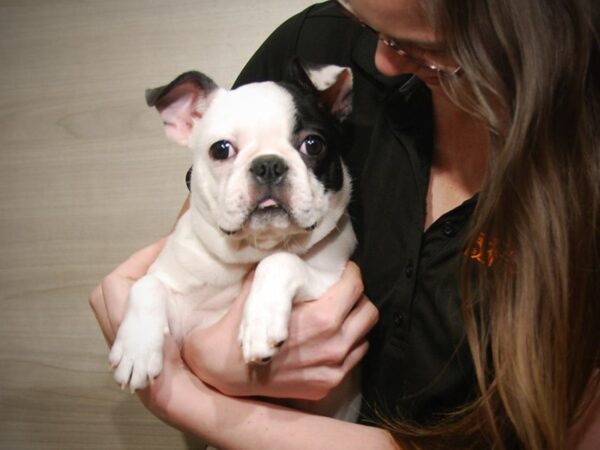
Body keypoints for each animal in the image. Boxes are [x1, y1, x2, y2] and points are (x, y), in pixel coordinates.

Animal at [109, 61, 358, 420]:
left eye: (313, 144)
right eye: (221, 149)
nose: (268, 164)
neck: (251, 249)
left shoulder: (329, 279)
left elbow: (280, 260)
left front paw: (260, 322)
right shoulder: (185, 319)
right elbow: (147, 284)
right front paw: (136, 349)